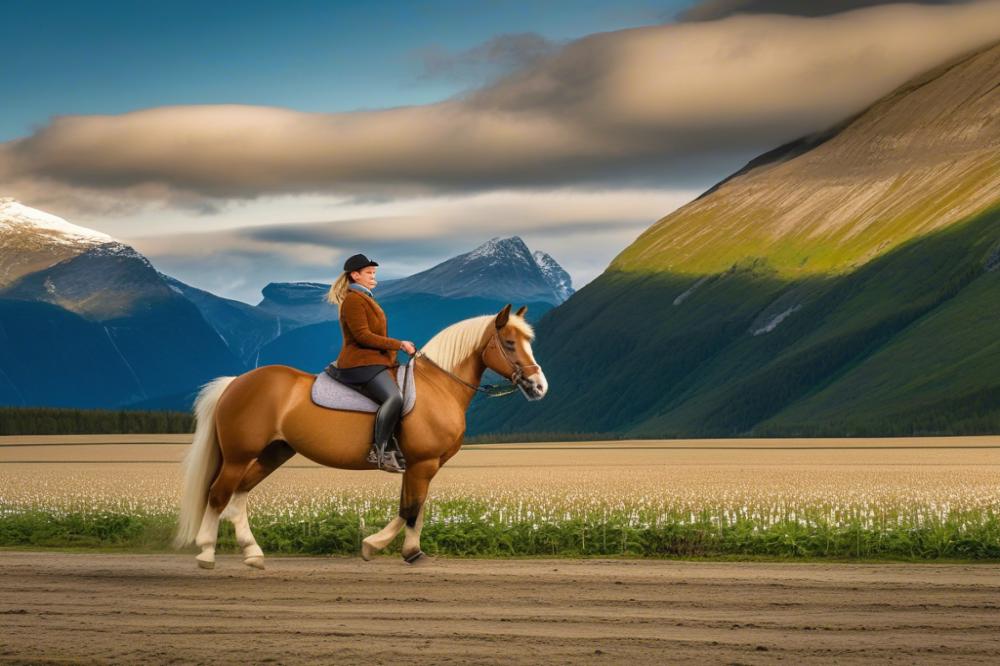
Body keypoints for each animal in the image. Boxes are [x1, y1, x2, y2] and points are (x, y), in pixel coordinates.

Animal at [172, 303, 547, 569]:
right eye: (510, 343)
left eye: (529, 342)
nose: (539, 386)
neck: (439, 386)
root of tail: (236, 382)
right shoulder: (423, 463)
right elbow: (411, 508)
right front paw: (390, 549)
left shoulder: (419, 465)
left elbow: (411, 507)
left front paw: (394, 548)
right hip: (239, 455)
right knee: (219, 494)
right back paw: (206, 554)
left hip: (272, 453)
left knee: (238, 495)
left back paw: (252, 553)